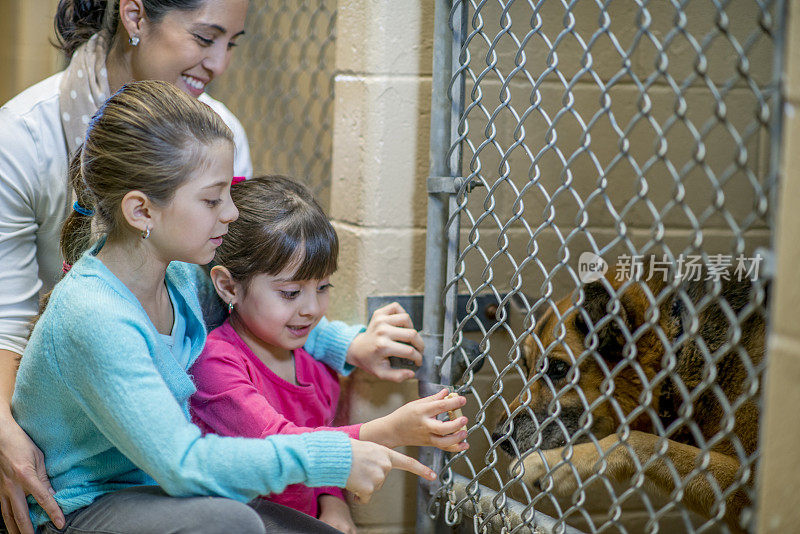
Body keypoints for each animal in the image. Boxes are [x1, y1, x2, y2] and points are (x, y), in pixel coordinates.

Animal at [490, 262, 764, 532]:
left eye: (558, 368)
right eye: (525, 367)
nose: (498, 437)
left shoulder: (748, 481)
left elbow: (639, 441)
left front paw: (553, 464)